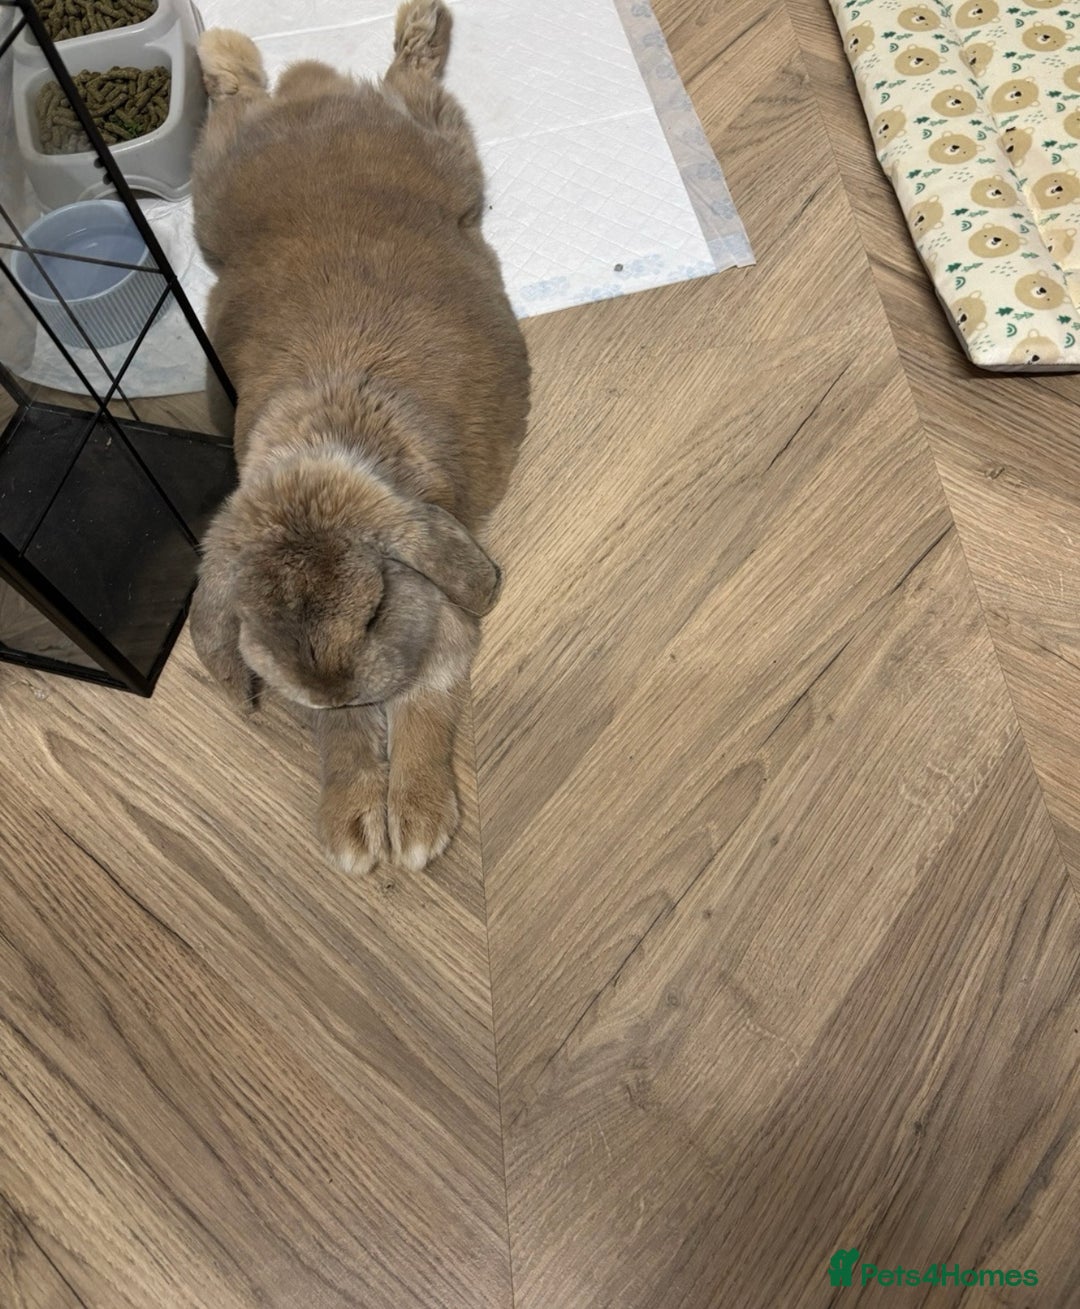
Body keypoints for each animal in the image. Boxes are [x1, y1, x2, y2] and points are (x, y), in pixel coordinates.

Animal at [188, 0, 530, 874]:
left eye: (373, 612)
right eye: (265, 634)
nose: (340, 684)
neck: (321, 455)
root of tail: (315, 94)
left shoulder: (441, 623)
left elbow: (426, 707)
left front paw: (416, 823)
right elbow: (338, 737)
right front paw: (350, 827)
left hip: (444, 148)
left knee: (406, 73)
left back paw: (413, 21)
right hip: (217, 186)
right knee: (242, 91)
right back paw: (225, 48)